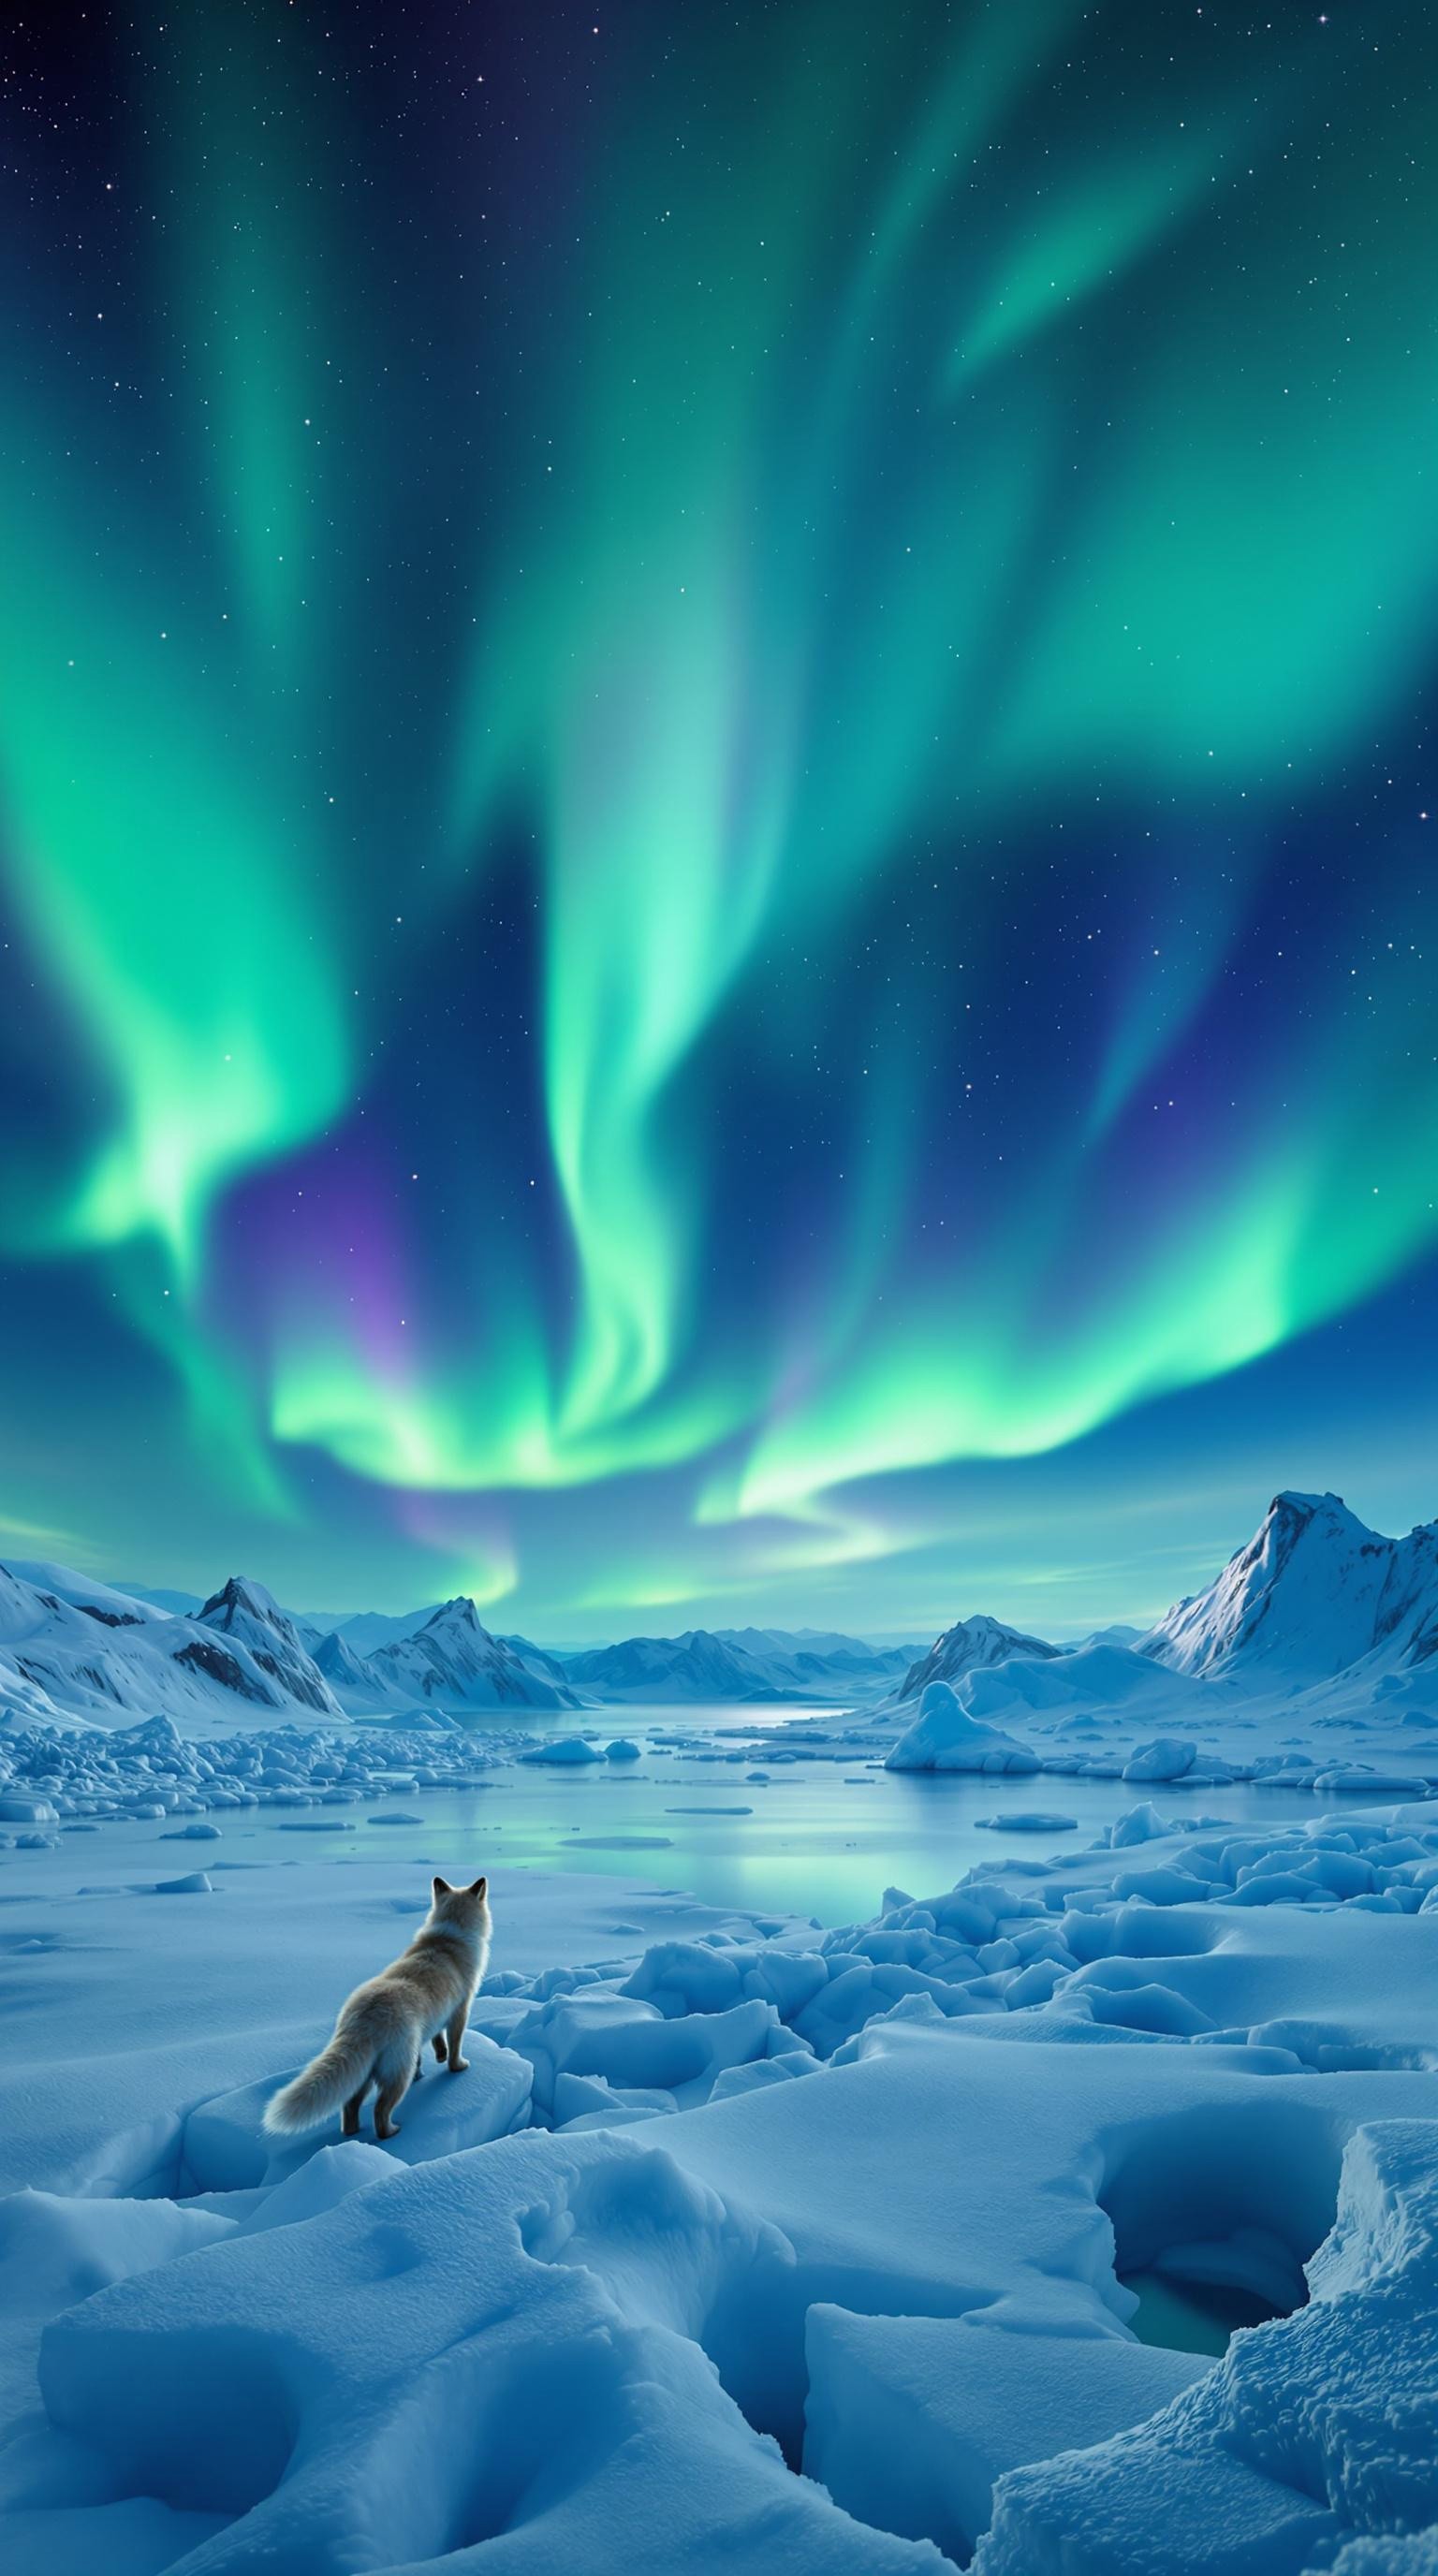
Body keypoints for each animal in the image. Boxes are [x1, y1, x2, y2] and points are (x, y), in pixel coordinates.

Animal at [264, 1873, 491, 2143]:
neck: (450, 1935)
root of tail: (364, 2017)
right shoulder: (460, 2011)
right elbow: (455, 2046)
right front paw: (457, 2067)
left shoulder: (439, 2017)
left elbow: (438, 2041)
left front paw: (439, 2055)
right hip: (397, 2072)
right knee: (380, 2111)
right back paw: (391, 2133)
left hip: (364, 2073)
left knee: (350, 2106)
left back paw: (353, 2133)